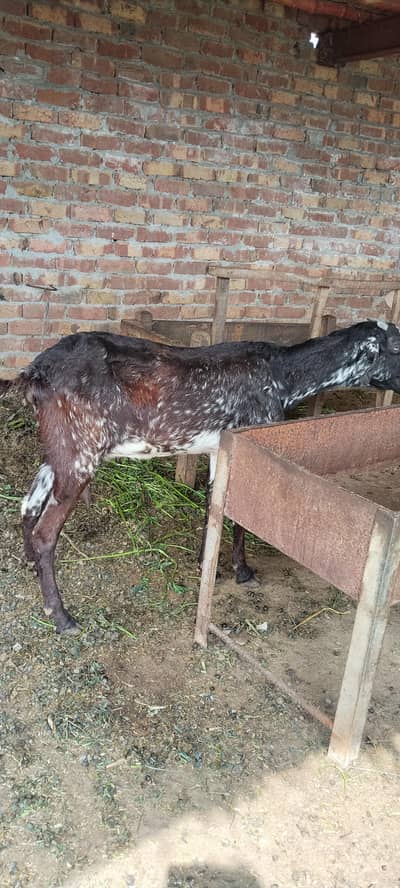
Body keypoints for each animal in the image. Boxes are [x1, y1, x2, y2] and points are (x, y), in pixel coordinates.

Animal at [1, 318, 400, 635]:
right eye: (396, 346)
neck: (282, 376)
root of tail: (34, 373)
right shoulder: (248, 441)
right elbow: (240, 517)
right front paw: (243, 570)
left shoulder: (216, 449)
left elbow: (213, 504)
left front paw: (205, 560)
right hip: (81, 450)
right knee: (45, 532)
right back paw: (61, 616)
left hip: (57, 449)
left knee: (28, 505)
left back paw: (30, 565)